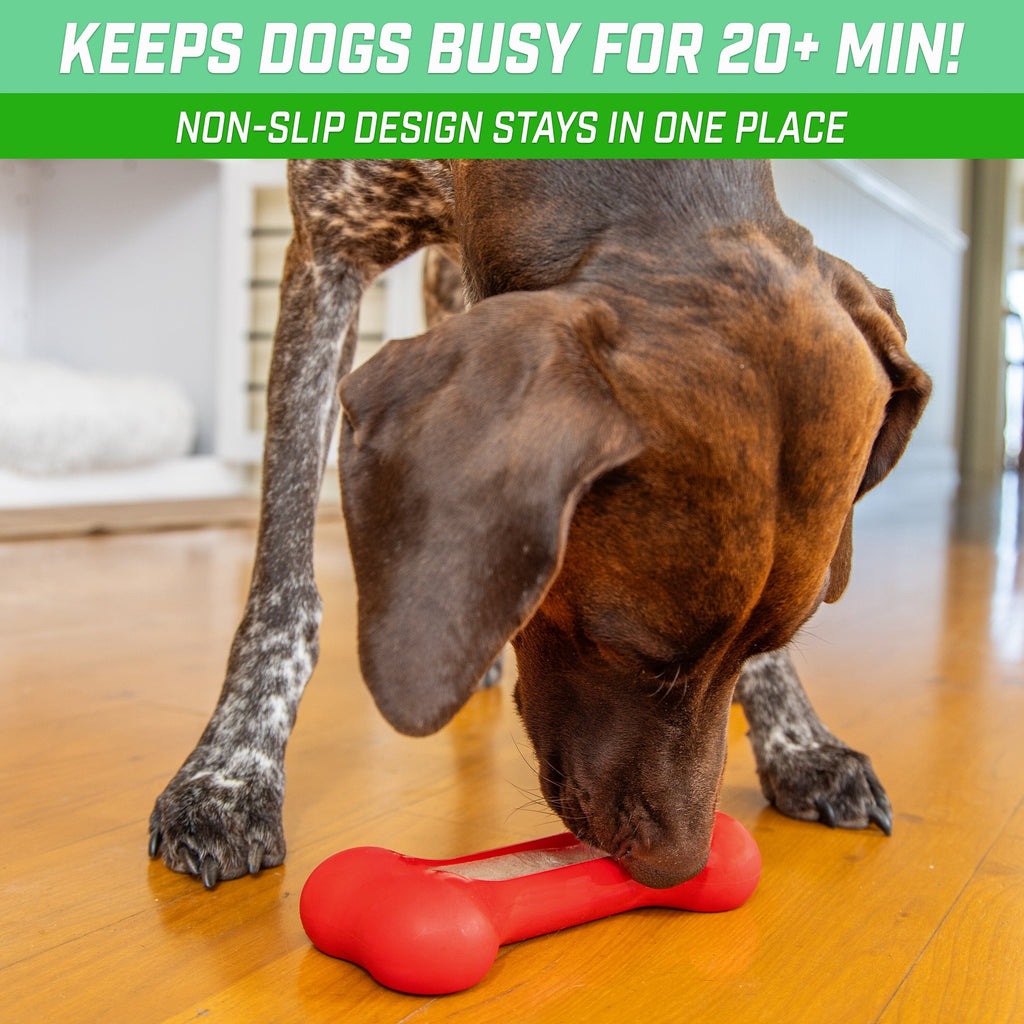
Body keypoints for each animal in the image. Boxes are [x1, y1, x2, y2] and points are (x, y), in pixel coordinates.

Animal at [149, 157, 929, 888]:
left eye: (771, 640)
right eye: (624, 651)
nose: (680, 868)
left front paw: (801, 743)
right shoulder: (325, 253)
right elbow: (284, 580)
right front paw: (230, 775)